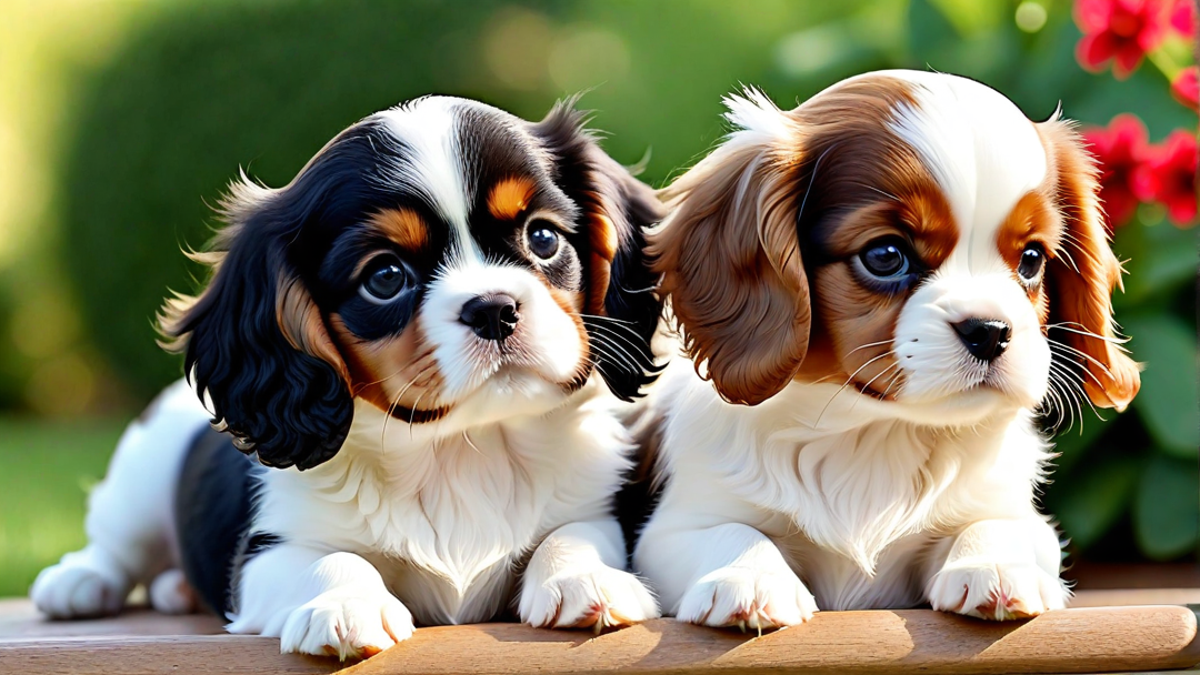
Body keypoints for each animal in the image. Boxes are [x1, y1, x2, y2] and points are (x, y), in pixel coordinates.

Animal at [633, 70, 1137, 629]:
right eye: (886, 255)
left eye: (1031, 260)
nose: (990, 329)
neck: (874, 432)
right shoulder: (675, 528)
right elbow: (732, 531)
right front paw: (750, 577)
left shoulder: (1019, 516)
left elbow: (995, 524)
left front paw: (996, 566)